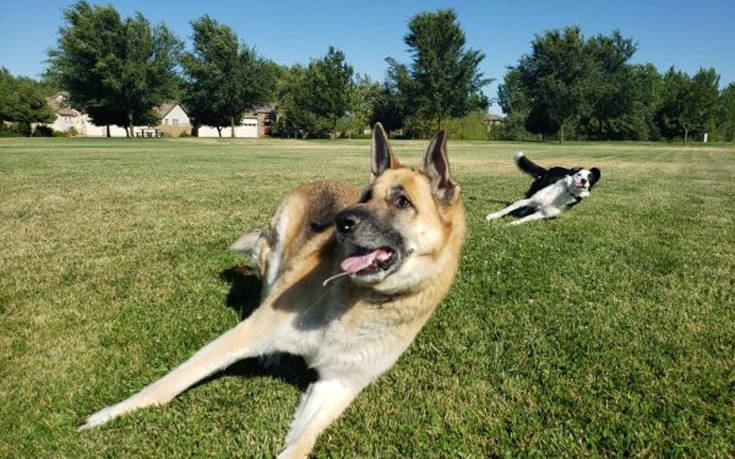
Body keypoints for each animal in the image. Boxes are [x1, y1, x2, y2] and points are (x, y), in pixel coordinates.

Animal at [79, 124, 466, 458]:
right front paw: (112, 413)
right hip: (277, 250)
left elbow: (301, 443)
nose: (340, 222)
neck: (364, 301)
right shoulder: (246, 333)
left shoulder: (338, 384)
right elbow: (170, 382)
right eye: (367, 196)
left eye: (402, 202)